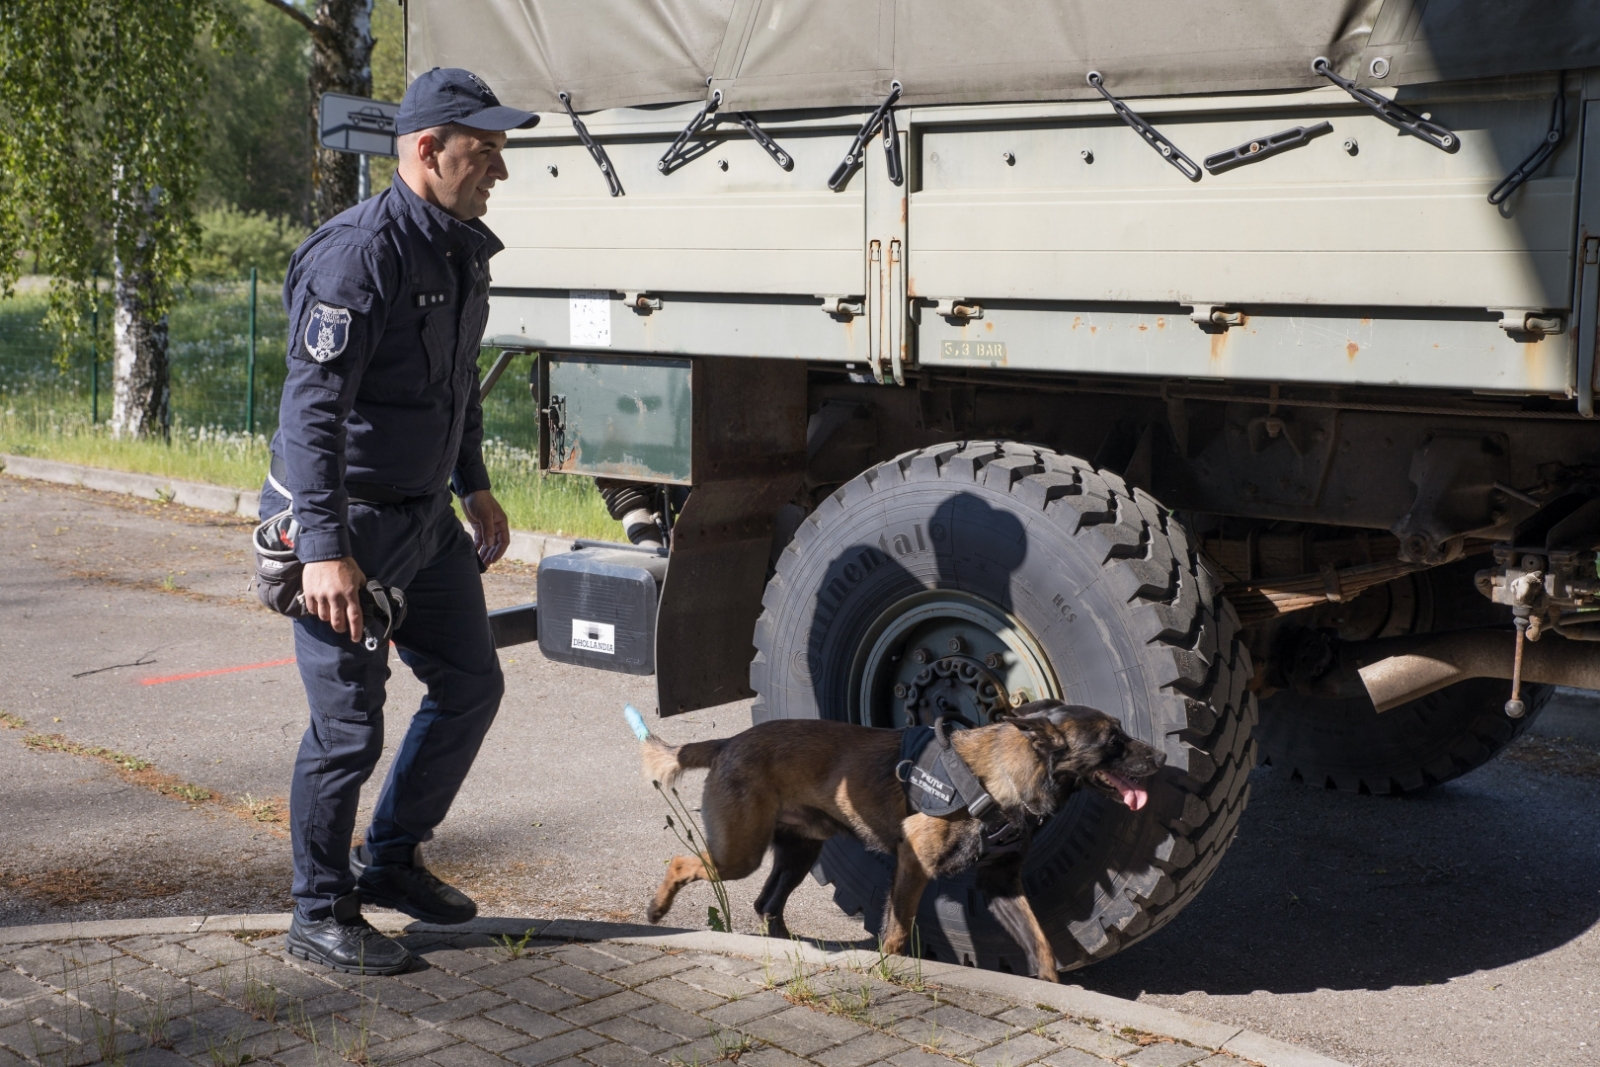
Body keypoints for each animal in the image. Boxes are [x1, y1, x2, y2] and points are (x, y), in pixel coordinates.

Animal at [636, 697, 1164, 979]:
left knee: (767, 902)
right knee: (682, 863)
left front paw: (1050, 984)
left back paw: (787, 945)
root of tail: (729, 741)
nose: (1161, 758)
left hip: (799, 853)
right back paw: (657, 910)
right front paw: (886, 969)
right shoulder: (913, 864)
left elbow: (1042, 944)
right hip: (739, 855)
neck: (998, 777)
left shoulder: (1001, 884)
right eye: (1113, 741)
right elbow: (895, 932)